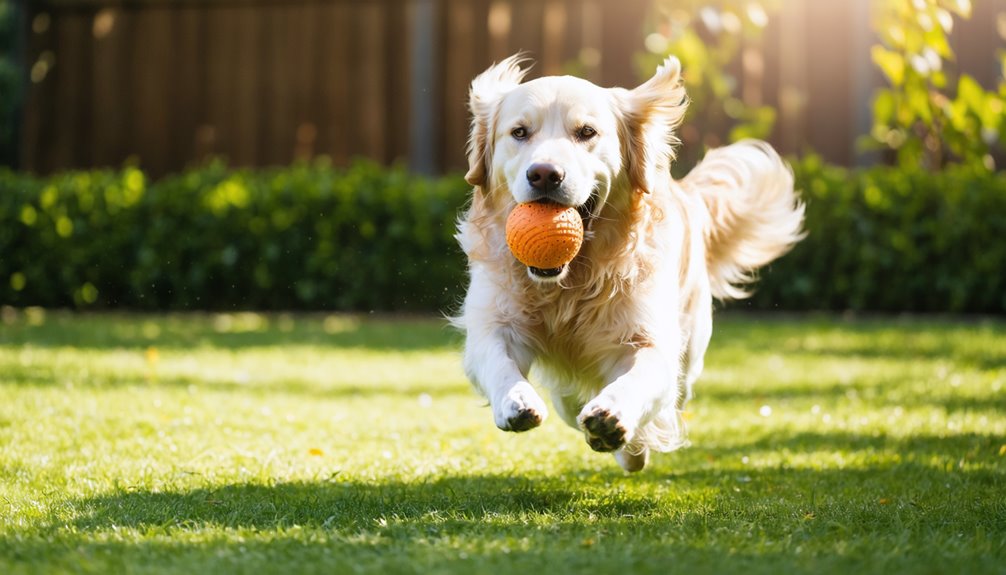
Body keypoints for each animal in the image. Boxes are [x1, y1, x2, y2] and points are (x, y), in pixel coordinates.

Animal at [452, 56, 804, 472]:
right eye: (519, 132)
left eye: (587, 132)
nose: (544, 174)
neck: (569, 282)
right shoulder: (494, 324)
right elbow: (498, 362)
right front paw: (516, 399)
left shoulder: (652, 341)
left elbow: (638, 381)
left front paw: (613, 419)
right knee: (568, 398)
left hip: (691, 345)